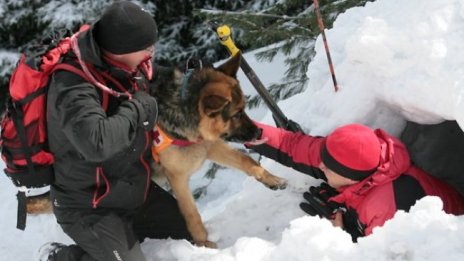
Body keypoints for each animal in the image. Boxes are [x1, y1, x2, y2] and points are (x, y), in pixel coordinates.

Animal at [149, 53, 286, 247]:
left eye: (244, 109)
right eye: (236, 114)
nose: (259, 132)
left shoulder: (211, 146)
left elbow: (246, 160)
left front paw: (272, 179)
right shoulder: (177, 177)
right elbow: (192, 214)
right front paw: (204, 244)